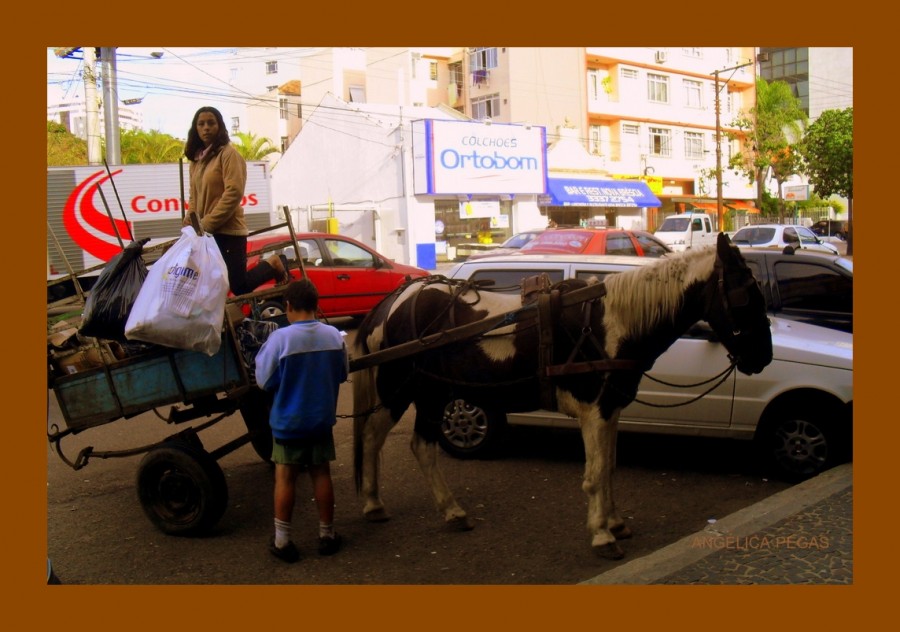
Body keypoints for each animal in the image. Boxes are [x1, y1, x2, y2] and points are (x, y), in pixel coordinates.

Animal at [348, 232, 768, 556]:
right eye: (745, 294)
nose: (763, 356)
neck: (612, 323)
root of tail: (394, 301)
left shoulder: (610, 408)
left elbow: (609, 467)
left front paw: (616, 522)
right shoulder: (594, 410)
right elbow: (595, 473)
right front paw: (602, 535)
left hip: (433, 392)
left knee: (420, 445)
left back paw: (449, 511)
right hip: (400, 389)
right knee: (373, 437)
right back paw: (373, 503)